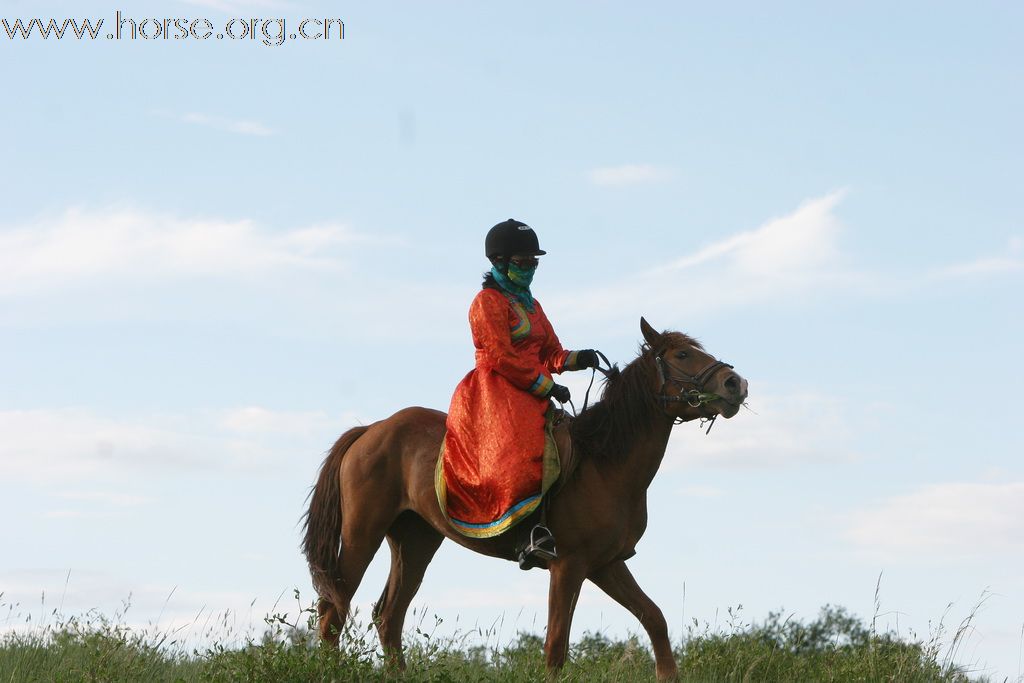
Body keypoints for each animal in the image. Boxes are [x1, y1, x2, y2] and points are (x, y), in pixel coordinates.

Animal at [299, 317, 749, 679]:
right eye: (682, 354)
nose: (736, 384)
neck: (604, 463)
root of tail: (372, 429)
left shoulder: (606, 565)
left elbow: (654, 618)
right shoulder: (568, 566)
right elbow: (555, 647)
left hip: (415, 539)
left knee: (387, 616)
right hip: (363, 533)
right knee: (334, 611)